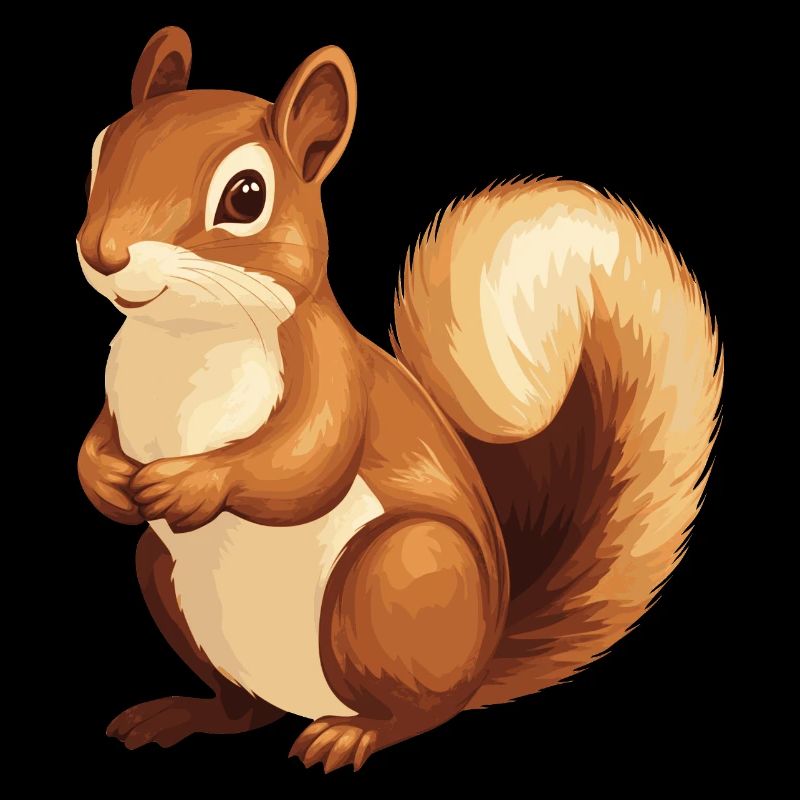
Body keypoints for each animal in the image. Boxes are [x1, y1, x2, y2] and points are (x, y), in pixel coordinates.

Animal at [77, 27, 723, 772]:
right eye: (98, 152)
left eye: (246, 195)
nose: (103, 253)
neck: (181, 340)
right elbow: (97, 442)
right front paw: (107, 481)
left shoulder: (332, 374)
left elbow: (307, 461)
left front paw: (190, 483)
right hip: (163, 575)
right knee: (245, 710)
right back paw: (186, 714)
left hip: (399, 576)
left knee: (417, 713)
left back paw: (352, 735)